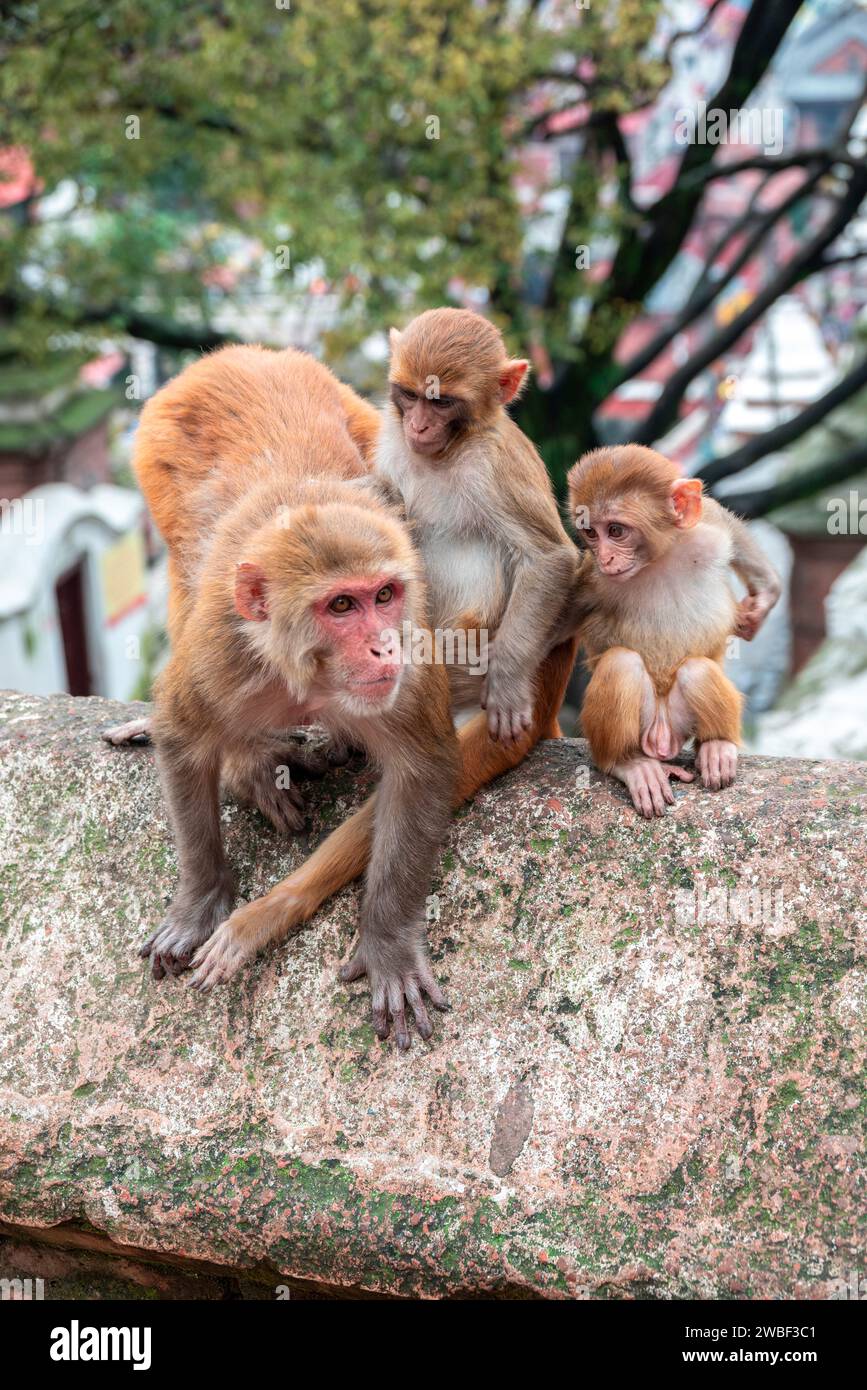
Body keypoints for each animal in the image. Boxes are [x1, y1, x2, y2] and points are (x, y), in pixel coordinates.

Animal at [124, 344, 461, 1045]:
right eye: (341, 605)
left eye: (384, 595)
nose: (383, 648)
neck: (303, 674)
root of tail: (238, 354)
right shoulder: (221, 650)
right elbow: (181, 732)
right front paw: (200, 901)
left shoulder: (412, 657)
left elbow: (422, 767)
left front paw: (387, 942)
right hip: (156, 453)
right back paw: (251, 766)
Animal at [566, 444, 783, 811]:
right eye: (591, 533)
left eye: (615, 531)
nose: (606, 558)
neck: (657, 561)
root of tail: (662, 735)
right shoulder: (590, 579)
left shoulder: (704, 532)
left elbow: (728, 525)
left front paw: (765, 598)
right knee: (621, 663)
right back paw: (629, 763)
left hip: (681, 721)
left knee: (698, 670)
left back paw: (716, 745)